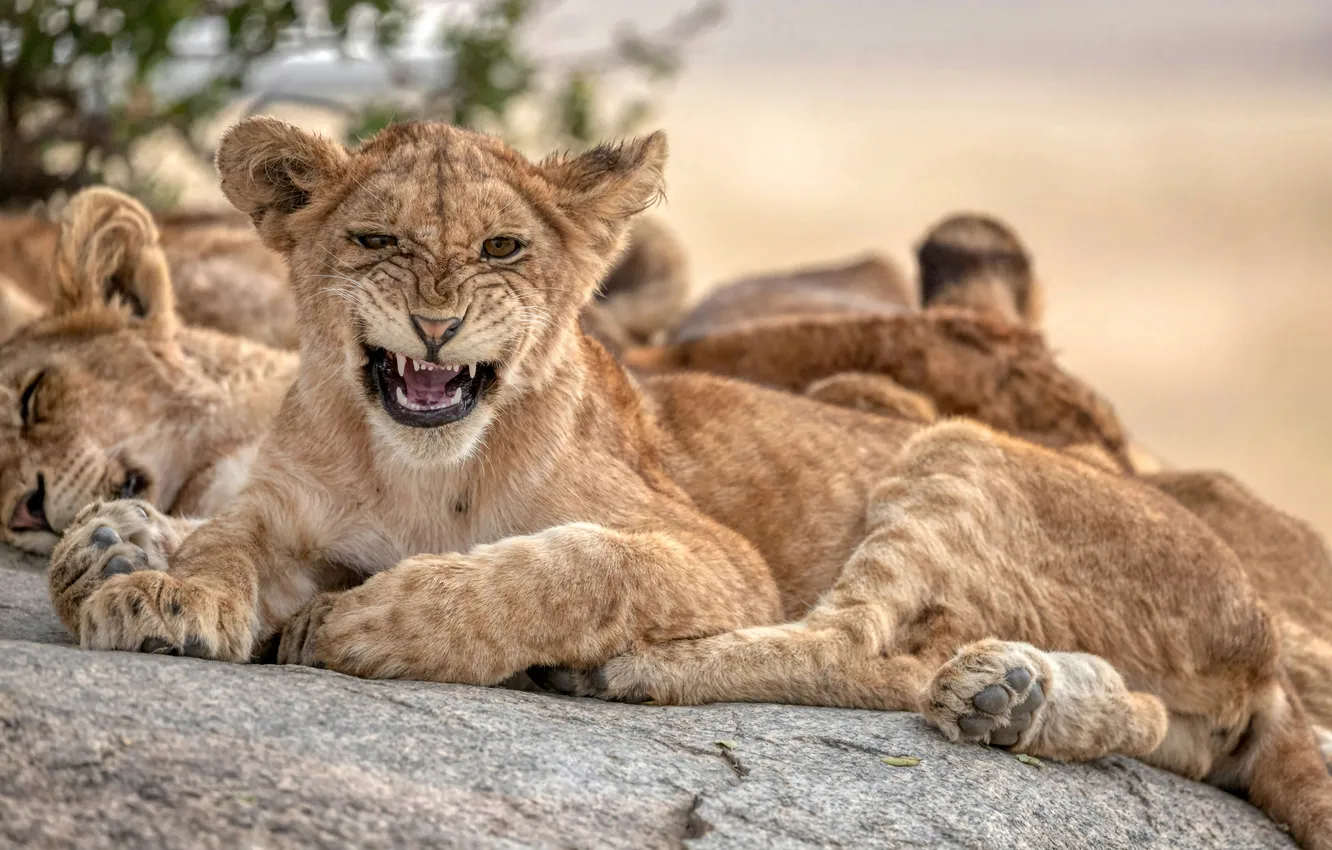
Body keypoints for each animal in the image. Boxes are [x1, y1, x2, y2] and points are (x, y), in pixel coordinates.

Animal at [40, 118, 1332, 847]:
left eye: (502, 249)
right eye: (376, 241)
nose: (436, 324)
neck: (415, 466)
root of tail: (1258, 627)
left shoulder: (709, 551)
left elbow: (566, 567)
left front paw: (380, 619)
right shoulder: (283, 506)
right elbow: (228, 539)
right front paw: (156, 589)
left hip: (946, 452)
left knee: (855, 647)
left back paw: (627, 670)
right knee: (1127, 712)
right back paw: (1015, 693)